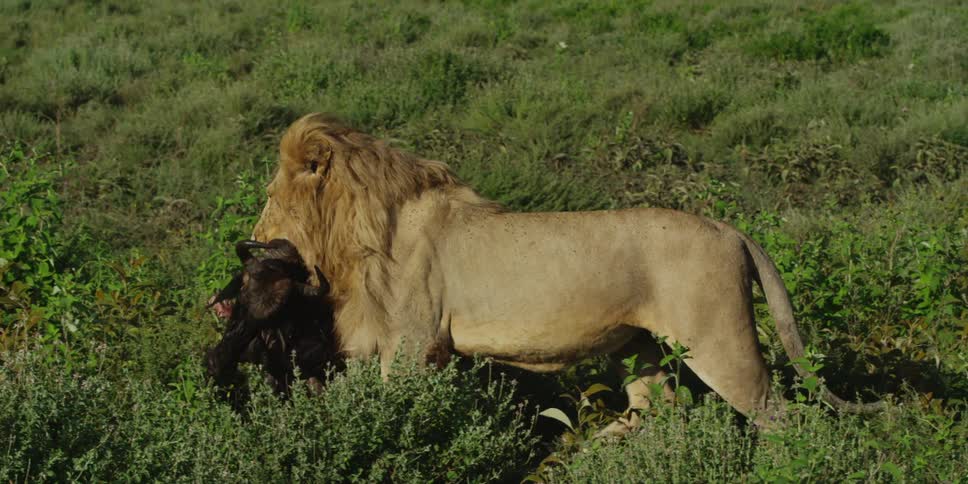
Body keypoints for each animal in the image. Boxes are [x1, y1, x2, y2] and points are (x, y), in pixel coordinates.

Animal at [252, 113, 881, 430]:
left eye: (270, 198)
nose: (251, 243)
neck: (358, 232)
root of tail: (731, 230)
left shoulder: (412, 346)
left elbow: (391, 409)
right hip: (641, 346)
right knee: (657, 406)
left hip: (720, 341)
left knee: (784, 419)